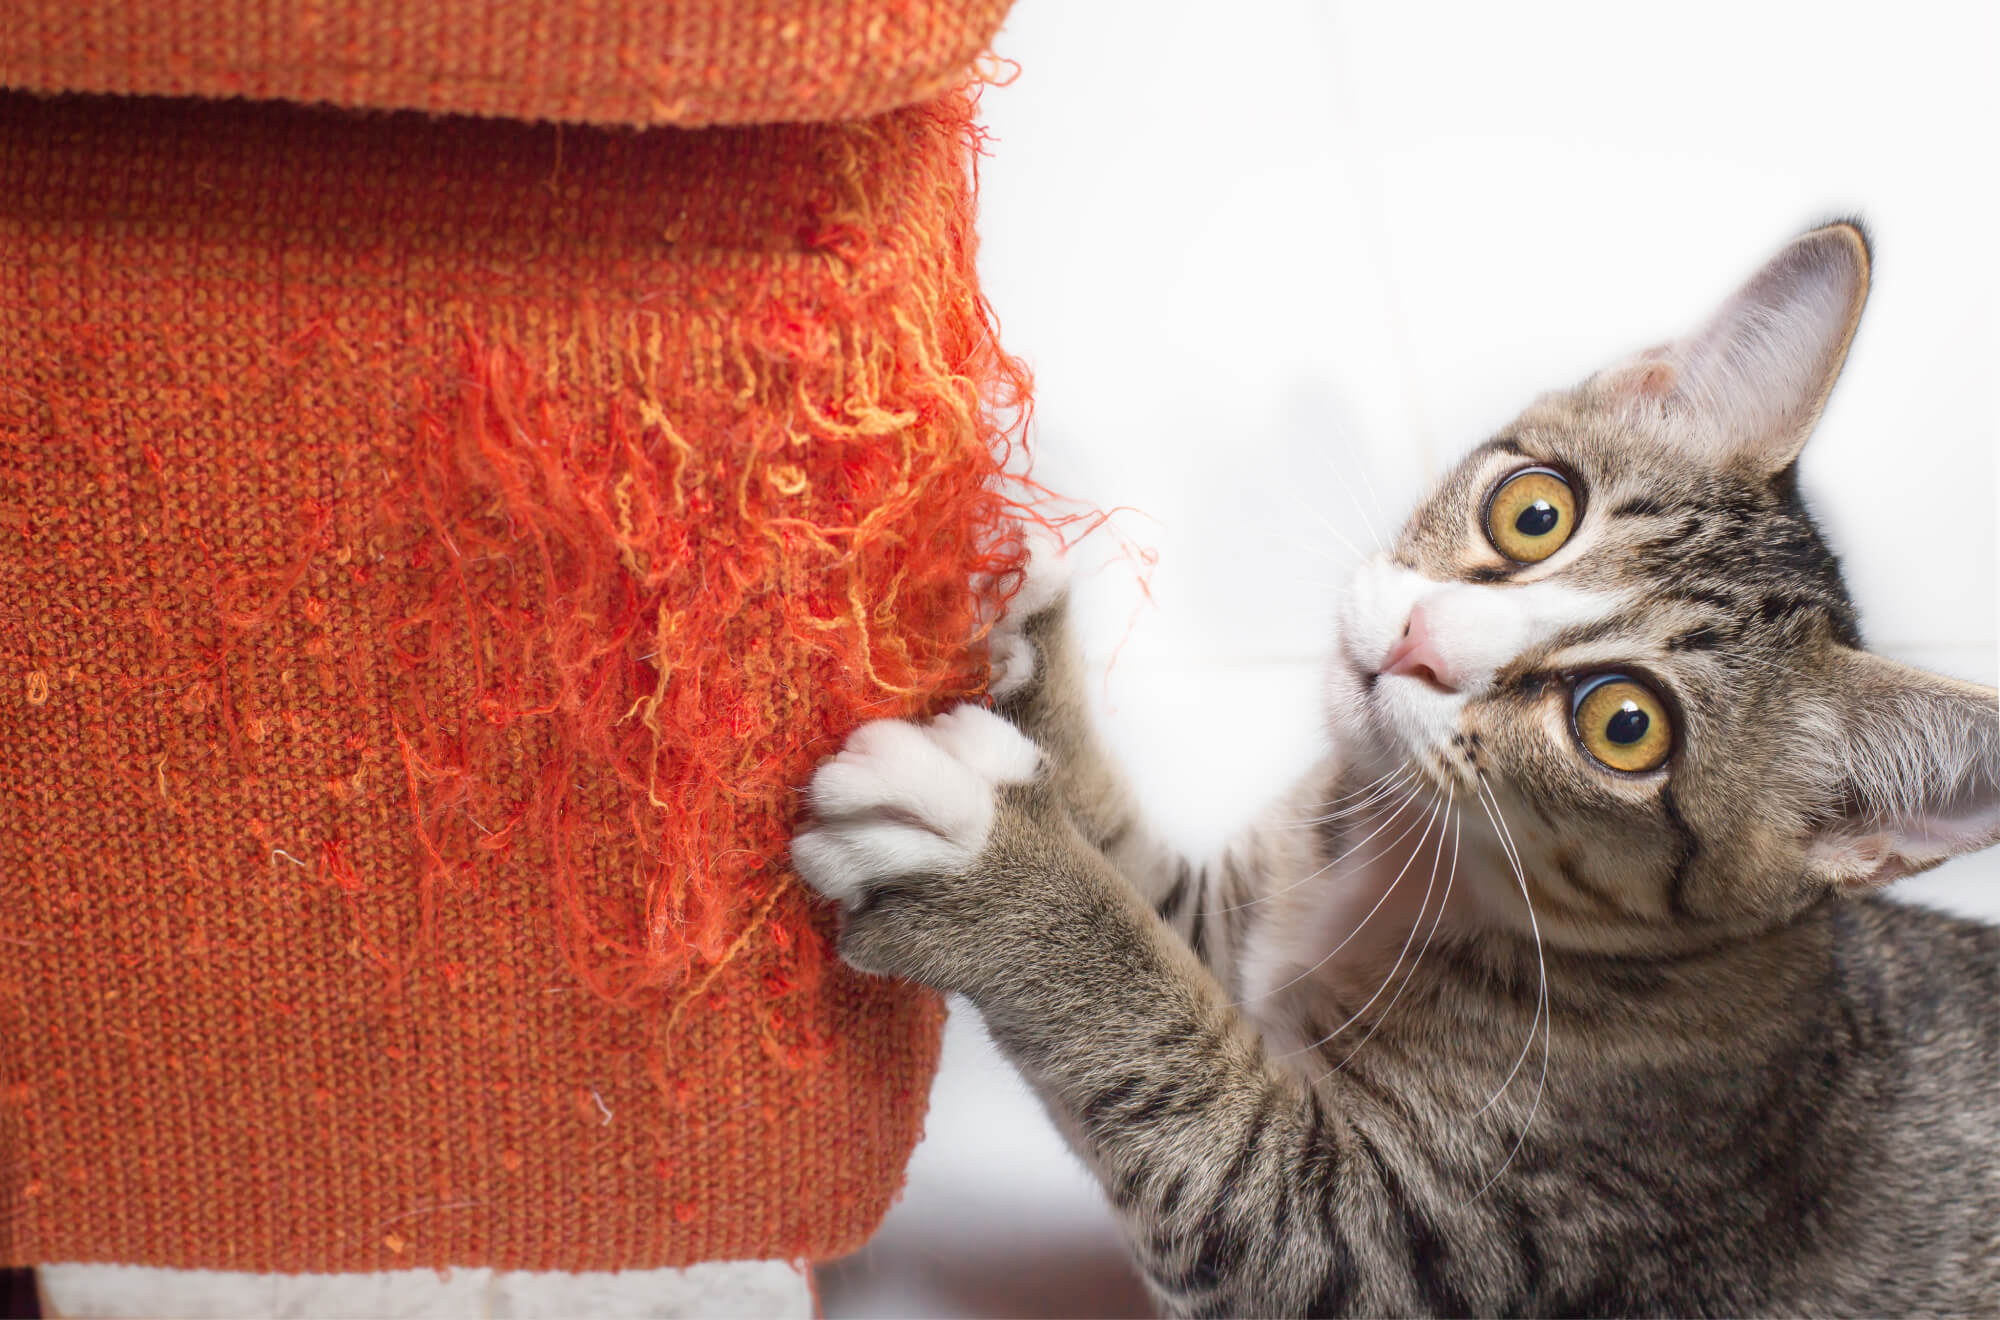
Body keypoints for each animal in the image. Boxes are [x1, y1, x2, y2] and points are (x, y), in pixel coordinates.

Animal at [788, 227, 1992, 1320]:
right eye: (1534, 508)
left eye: (1623, 724)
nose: (1421, 641)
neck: (1403, 859)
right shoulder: (1237, 920)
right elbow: (1156, 902)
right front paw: (1010, 611)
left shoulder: (1380, 1238)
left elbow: (1203, 1121)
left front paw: (993, 862)